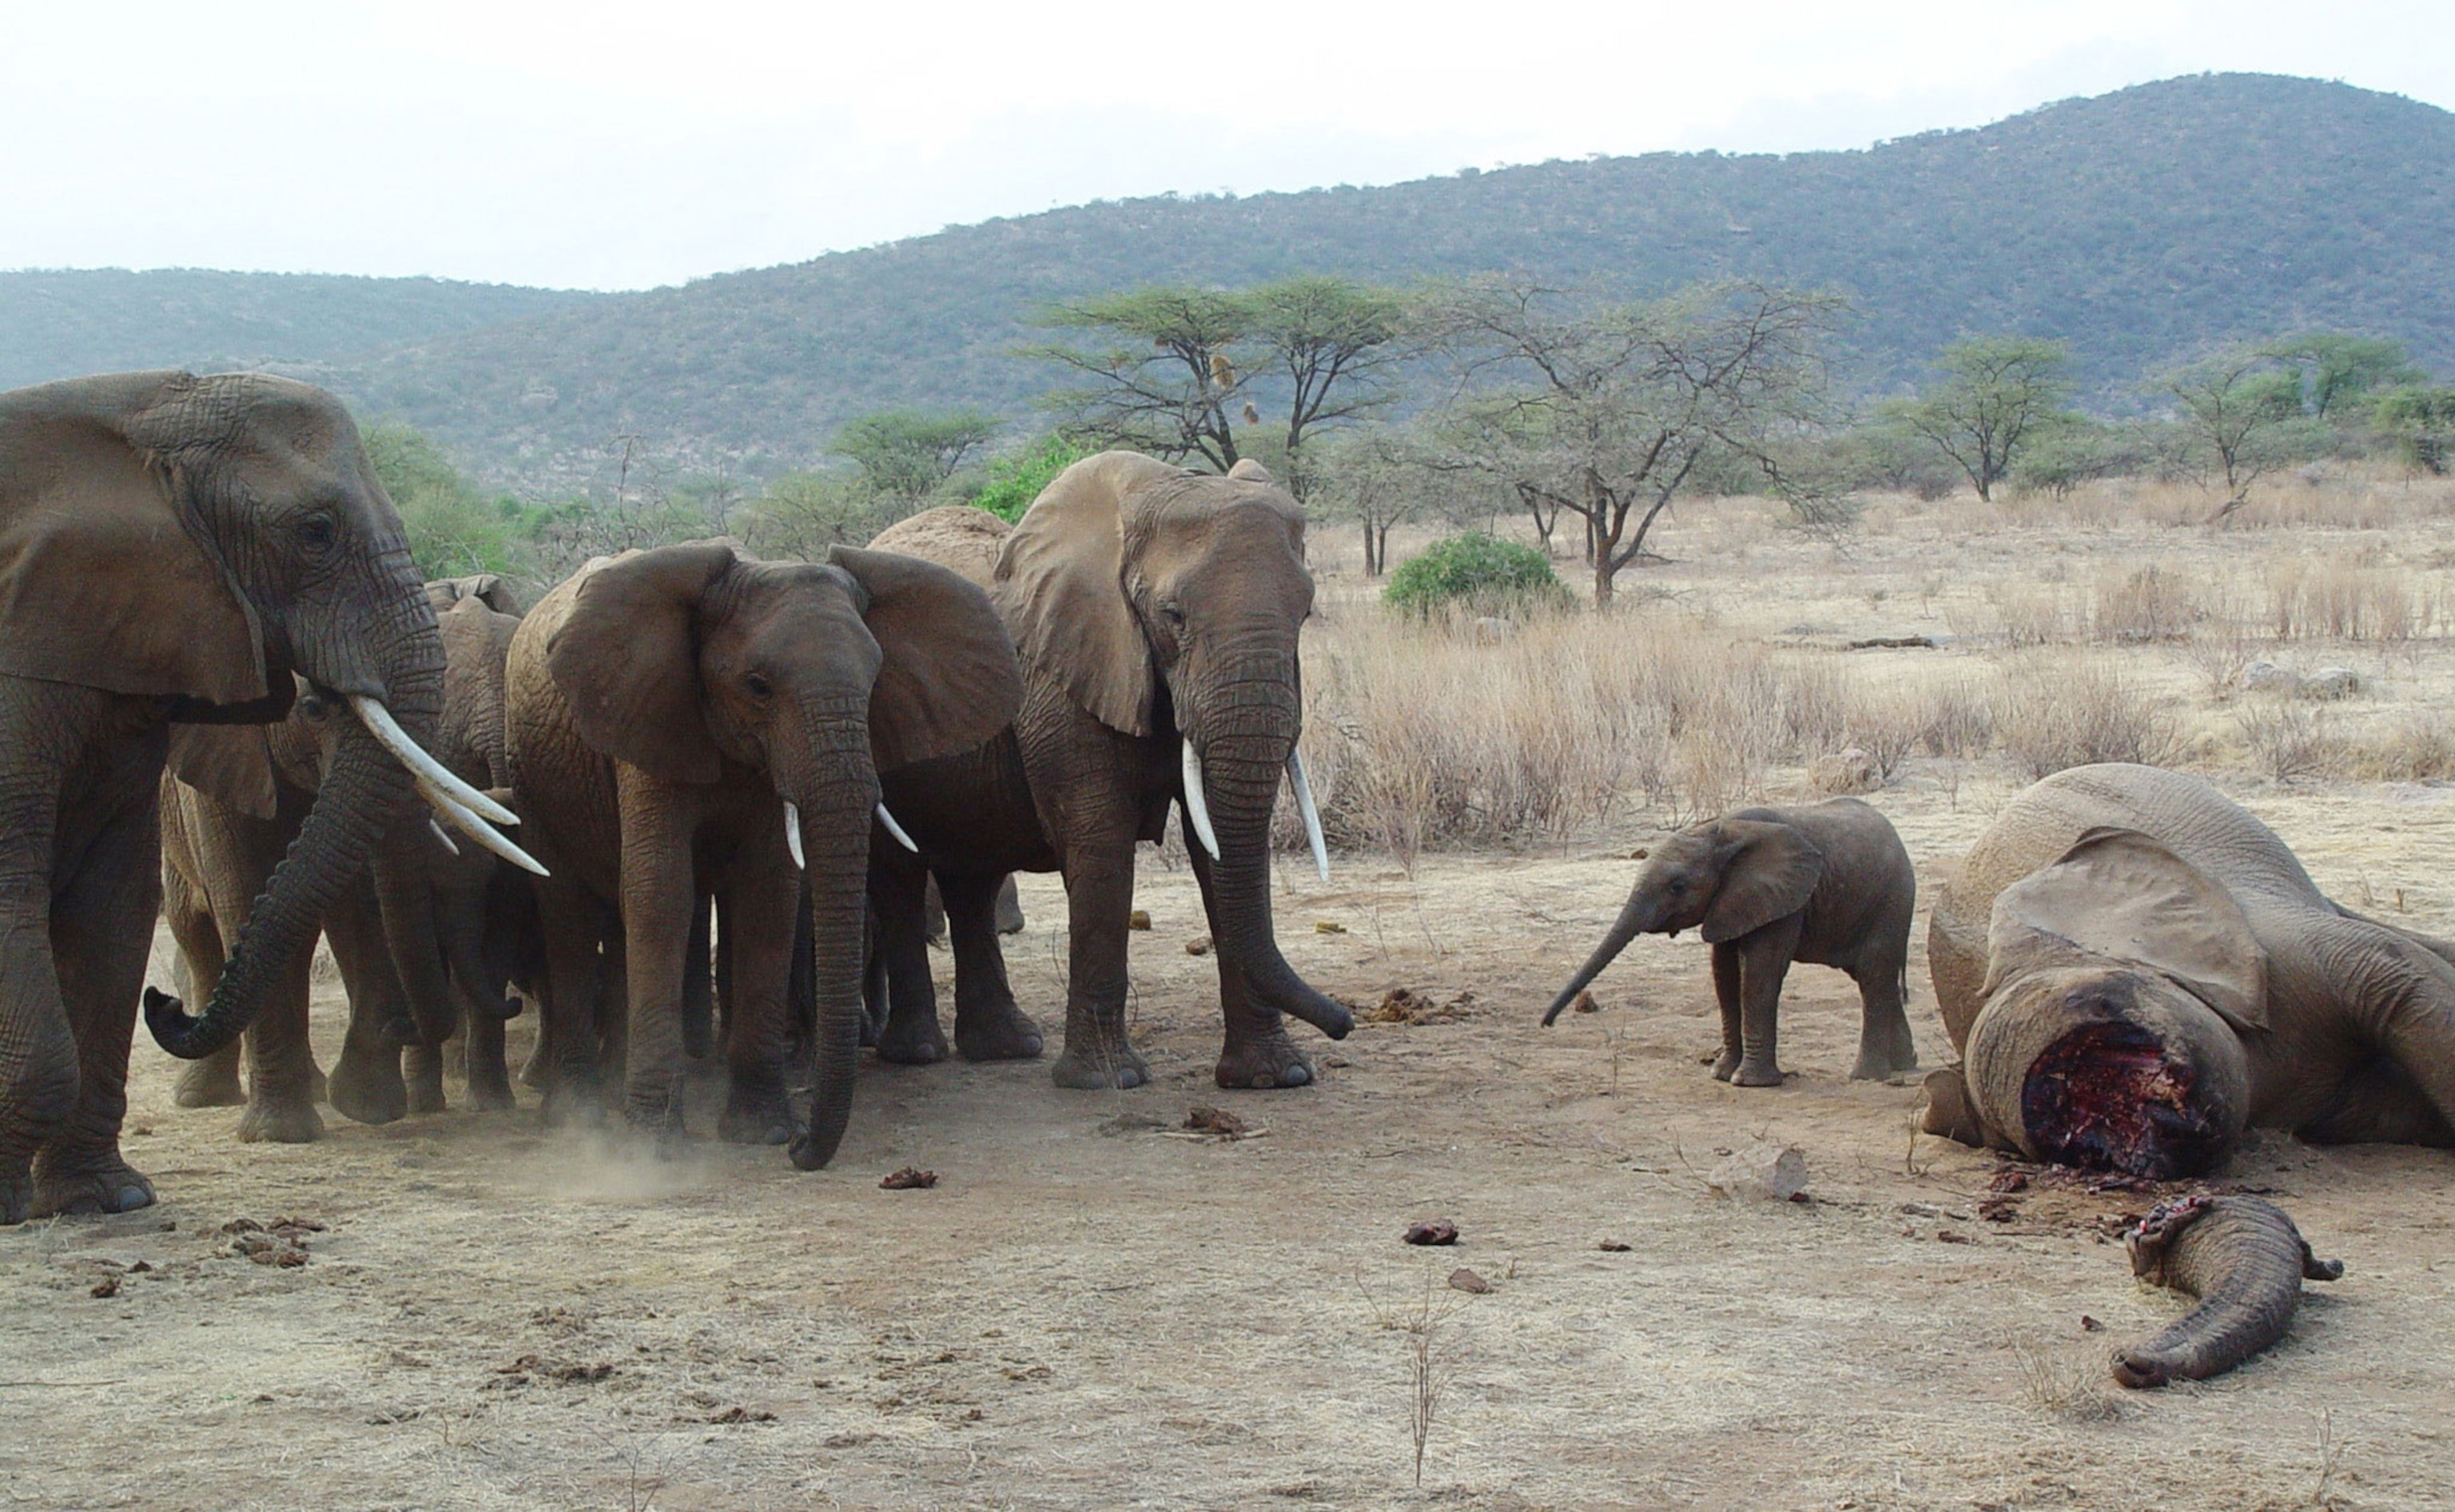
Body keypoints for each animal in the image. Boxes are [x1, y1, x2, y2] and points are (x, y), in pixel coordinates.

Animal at [0, 371, 525, 1224]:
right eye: (315, 532)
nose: (165, 1008)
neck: (137, 416)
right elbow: (235, 888)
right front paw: (285, 1133)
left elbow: (115, 900)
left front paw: (106, 1199)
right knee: (194, 921)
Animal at [504, 539, 1020, 1168]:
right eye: (757, 685)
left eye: (876, 682)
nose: (802, 1149)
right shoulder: (649, 724)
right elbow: (661, 892)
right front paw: (652, 1148)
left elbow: (769, 898)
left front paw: (763, 1132)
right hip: (530, 775)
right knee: (567, 912)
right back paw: (575, 1115)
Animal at [863, 457, 1351, 1094]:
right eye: (1173, 616)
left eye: (1306, 613)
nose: (1344, 1022)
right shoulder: (1060, 681)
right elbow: (1102, 842)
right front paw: (1105, 1081)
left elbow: (1212, 851)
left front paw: (1275, 1077)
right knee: (899, 876)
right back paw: (918, 1053)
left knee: (972, 877)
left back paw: (1004, 1049)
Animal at [1541, 798, 1919, 1085]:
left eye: (1677, 887)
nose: (1546, 1024)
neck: (1722, 832)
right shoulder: (1730, 900)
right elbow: (1723, 973)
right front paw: (1722, 1074)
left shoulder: (1784, 898)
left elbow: (1759, 972)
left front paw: (1750, 1082)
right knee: (1878, 978)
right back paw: (1905, 1066)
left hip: (1893, 899)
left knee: (1872, 973)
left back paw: (1866, 1076)